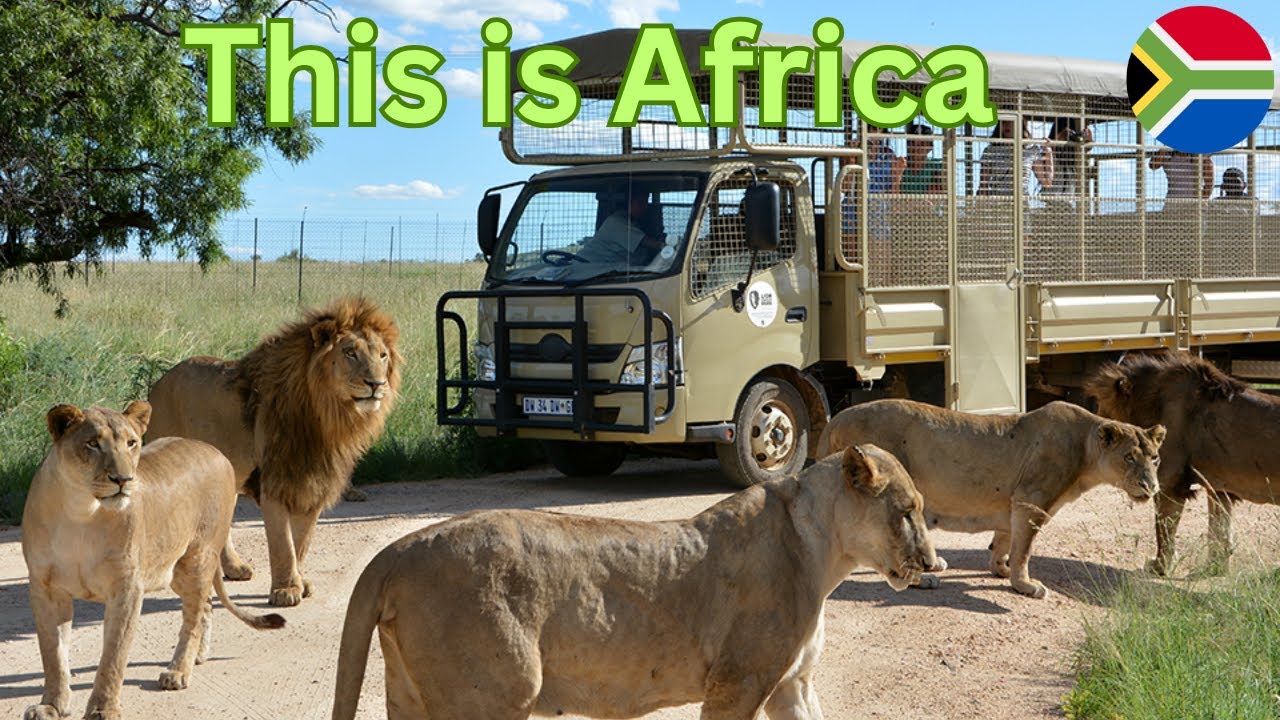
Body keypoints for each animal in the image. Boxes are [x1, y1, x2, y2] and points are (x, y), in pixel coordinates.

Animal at [21, 401, 285, 720]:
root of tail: (214, 450)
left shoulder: (126, 588)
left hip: (197, 558)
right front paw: (51, 706)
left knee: (194, 616)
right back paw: (198, 656)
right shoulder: (45, 588)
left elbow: (113, 656)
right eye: (93, 443)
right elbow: (53, 653)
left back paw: (178, 671)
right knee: (205, 605)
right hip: (175, 571)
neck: (81, 510)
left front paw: (103, 709)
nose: (123, 480)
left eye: (131, 443)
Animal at [146, 295, 401, 607]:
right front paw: (286, 590)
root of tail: (158, 383)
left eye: (382, 356)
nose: (377, 384)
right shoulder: (275, 482)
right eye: (350, 353)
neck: (327, 418)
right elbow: (283, 543)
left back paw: (233, 568)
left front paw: (300, 582)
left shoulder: (314, 483)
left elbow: (301, 542)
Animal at [330, 445, 936, 720]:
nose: (932, 565)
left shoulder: (792, 684)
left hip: (410, 694)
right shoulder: (737, 682)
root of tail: (396, 550)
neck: (824, 551)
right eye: (907, 510)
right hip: (496, 696)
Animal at [816, 399, 1165, 598]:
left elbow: (1004, 540)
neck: (1085, 450)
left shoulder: (1013, 502)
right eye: (1129, 458)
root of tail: (835, 420)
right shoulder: (1031, 500)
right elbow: (1024, 549)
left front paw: (1001, 570)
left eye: (1155, 458)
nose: (1151, 487)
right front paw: (1025, 585)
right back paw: (924, 580)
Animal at [1087, 351, 1280, 576]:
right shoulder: (1219, 489)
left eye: (1102, 409)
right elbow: (1219, 532)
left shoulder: (1169, 483)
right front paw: (1214, 569)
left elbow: (1164, 531)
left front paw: (1160, 568)